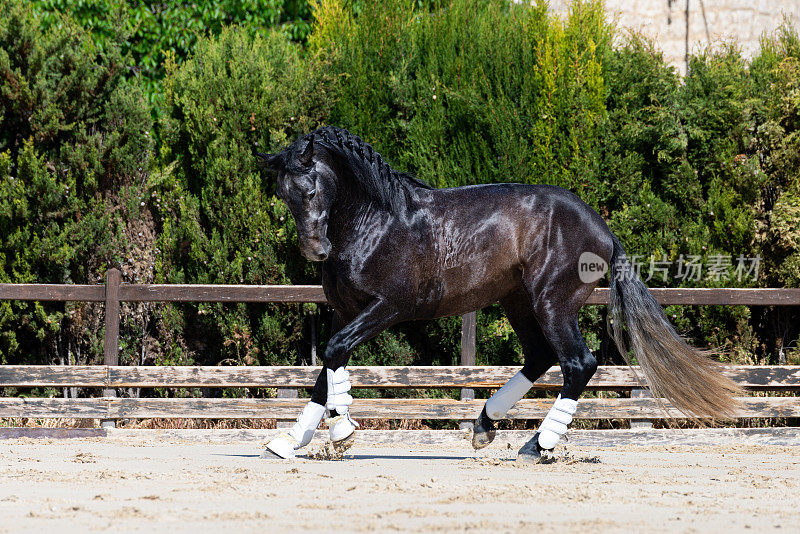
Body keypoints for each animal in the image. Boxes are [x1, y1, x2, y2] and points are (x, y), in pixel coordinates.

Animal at [256, 126, 736, 464]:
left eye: (311, 187)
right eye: (284, 194)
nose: (317, 250)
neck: (375, 222)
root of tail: (602, 230)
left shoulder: (388, 306)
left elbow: (334, 355)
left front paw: (341, 432)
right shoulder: (345, 311)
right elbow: (326, 367)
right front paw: (288, 441)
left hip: (552, 303)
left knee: (578, 363)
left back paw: (538, 445)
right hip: (519, 302)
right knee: (541, 357)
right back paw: (485, 426)